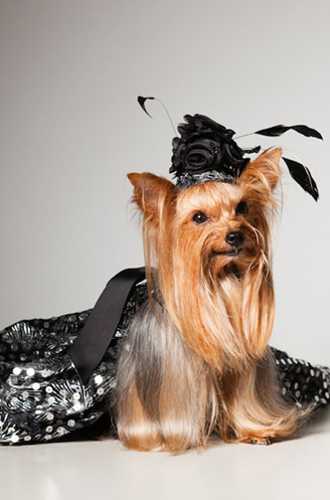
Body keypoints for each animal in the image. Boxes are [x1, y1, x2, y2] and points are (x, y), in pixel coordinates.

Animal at [113, 146, 312, 454]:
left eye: (242, 207)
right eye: (198, 217)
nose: (235, 234)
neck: (221, 281)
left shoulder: (241, 358)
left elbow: (243, 396)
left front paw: (254, 431)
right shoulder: (169, 366)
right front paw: (171, 438)